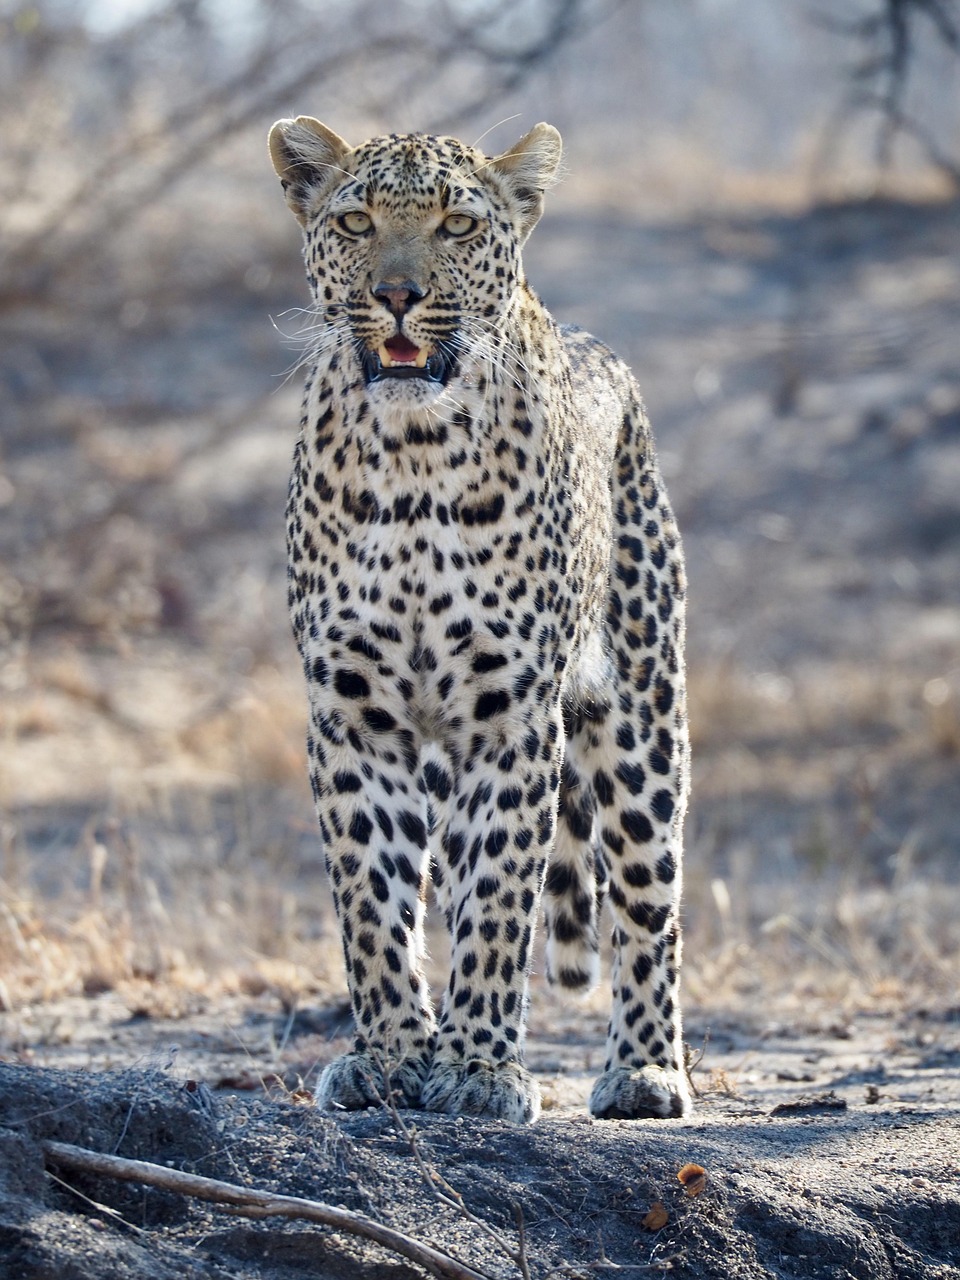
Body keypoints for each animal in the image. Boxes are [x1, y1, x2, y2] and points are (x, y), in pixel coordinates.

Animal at [268, 116, 691, 1124]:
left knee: (647, 896)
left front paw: (478, 1069)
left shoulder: (512, 716)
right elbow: (373, 899)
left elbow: (502, 898)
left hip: (644, 711)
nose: (396, 296)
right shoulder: (353, 713)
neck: (416, 456)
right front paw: (390, 1057)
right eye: (355, 221)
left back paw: (646, 1071)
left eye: (457, 224)